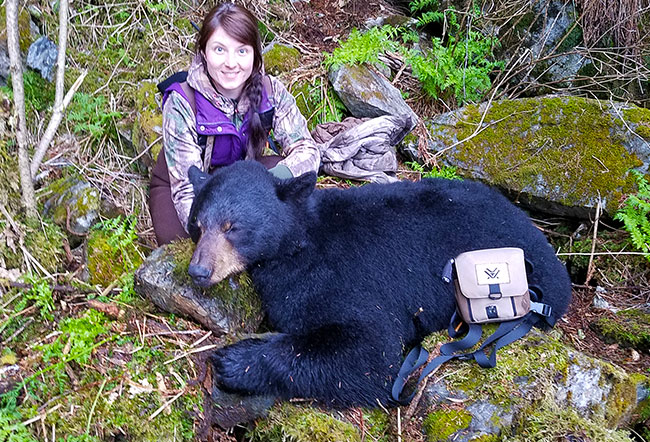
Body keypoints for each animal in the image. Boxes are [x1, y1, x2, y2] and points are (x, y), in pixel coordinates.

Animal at [185, 160, 568, 408]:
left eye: (232, 227)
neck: (301, 238)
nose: (198, 270)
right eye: (198, 224)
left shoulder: (341, 275)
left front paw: (234, 360)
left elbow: (370, 351)